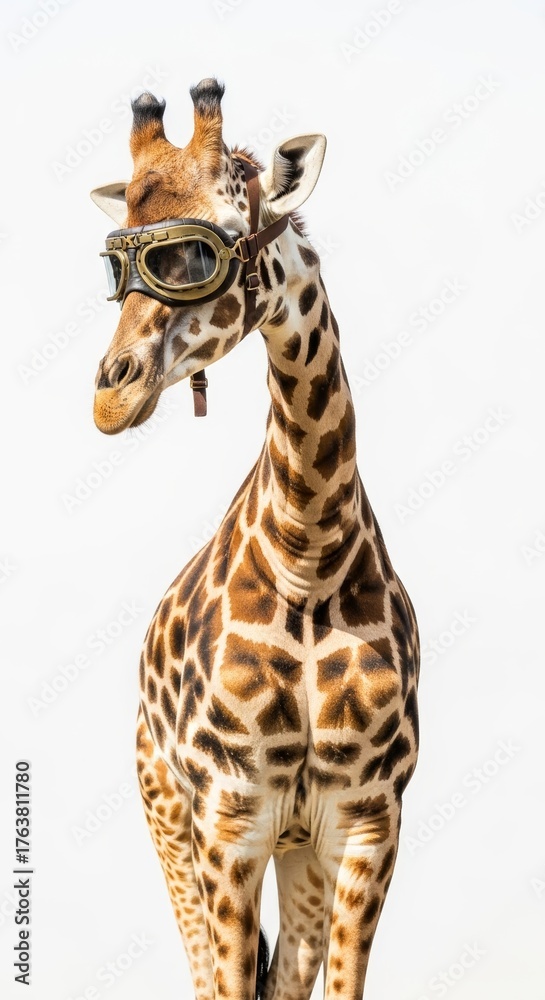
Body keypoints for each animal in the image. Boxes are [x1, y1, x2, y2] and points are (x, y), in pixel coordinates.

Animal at [90, 79, 419, 1000]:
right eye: (113, 266)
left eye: (200, 251)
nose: (109, 397)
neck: (307, 556)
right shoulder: (228, 818)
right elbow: (228, 985)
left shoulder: (366, 819)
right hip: (165, 811)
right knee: (204, 974)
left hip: (298, 849)